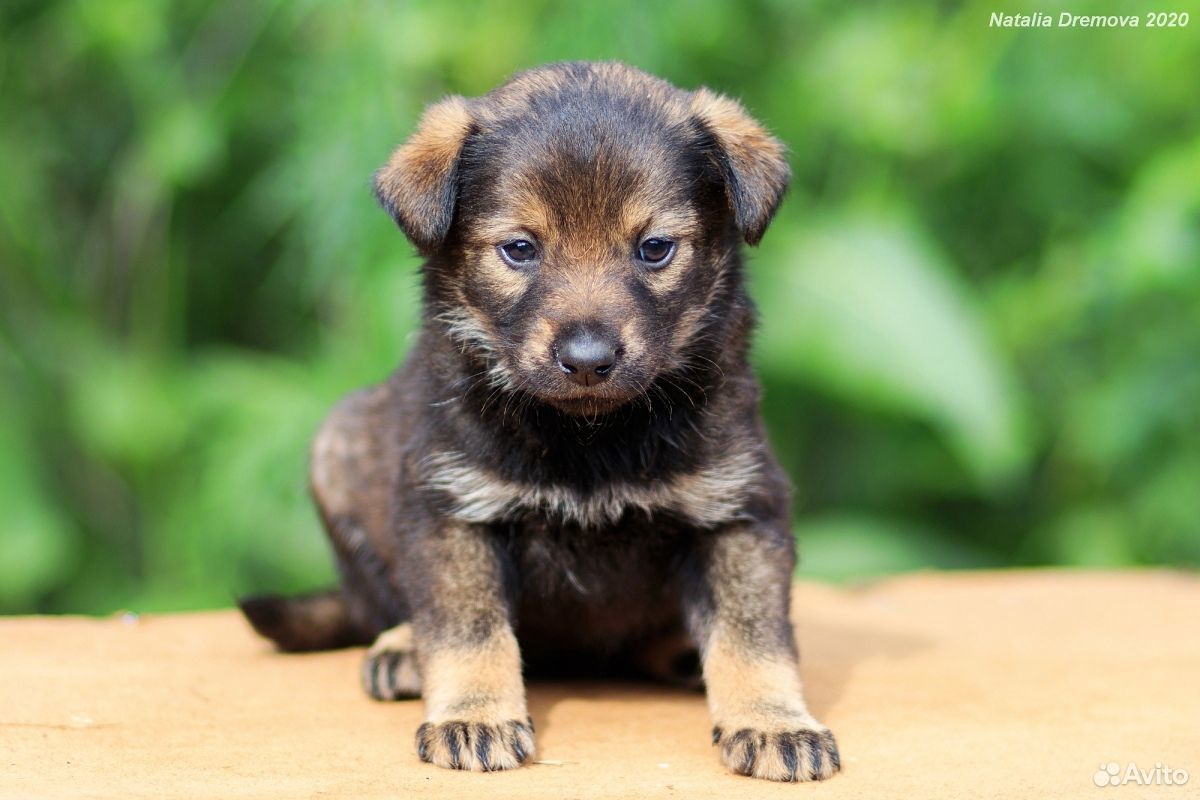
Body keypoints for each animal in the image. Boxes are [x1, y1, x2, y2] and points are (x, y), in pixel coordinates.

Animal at [238, 61, 840, 782]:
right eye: (519, 249)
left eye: (655, 249)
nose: (587, 359)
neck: (591, 438)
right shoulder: (452, 508)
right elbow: (470, 630)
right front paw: (474, 716)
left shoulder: (739, 506)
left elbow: (754, 637)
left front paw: (775, 722)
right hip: (338, 448)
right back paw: (403, 648)